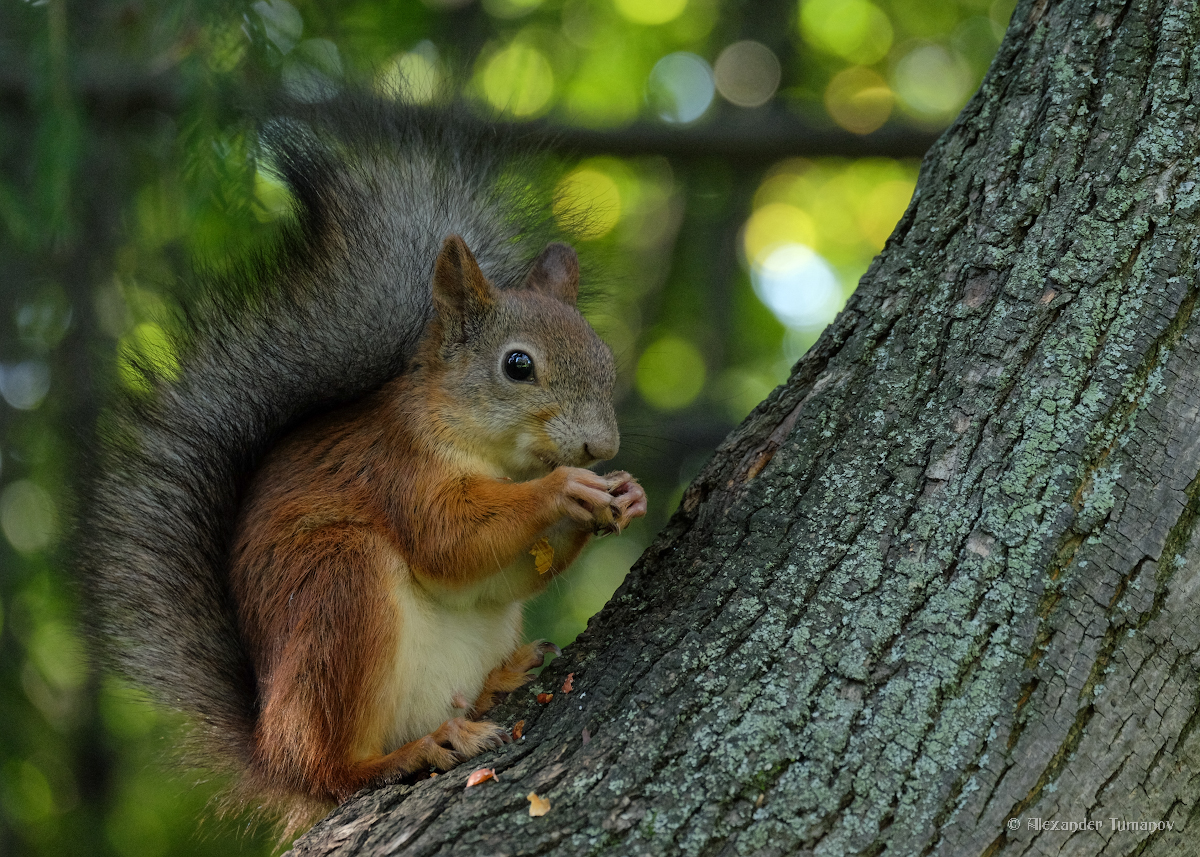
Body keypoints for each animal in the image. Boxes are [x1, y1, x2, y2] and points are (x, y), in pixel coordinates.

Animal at [82, 93, 648, 825]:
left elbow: (498, 577)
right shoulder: (396, 468)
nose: (602, 448)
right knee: (329, 766)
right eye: (517, 365)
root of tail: (267, 753)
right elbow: (448, 539)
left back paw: (500, 679)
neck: (487, 451)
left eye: (603, 358)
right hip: (338, 590)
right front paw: (565, 488)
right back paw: (411, 752)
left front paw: (625, 493)